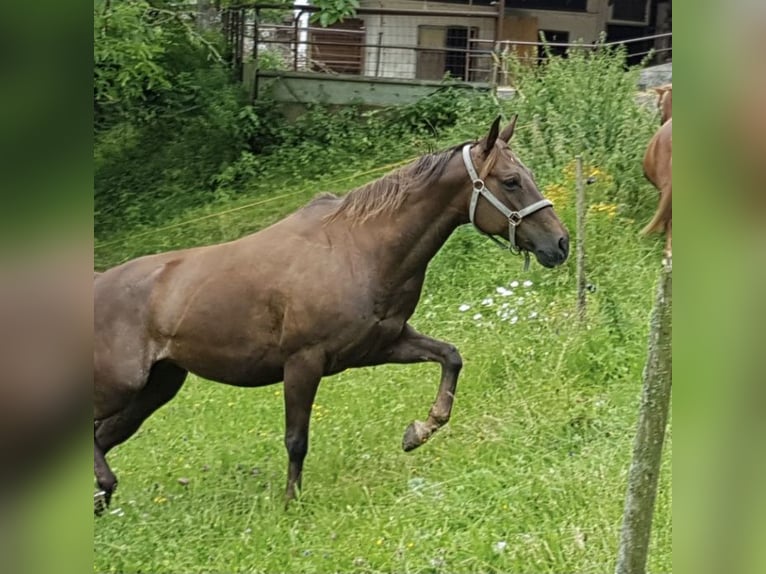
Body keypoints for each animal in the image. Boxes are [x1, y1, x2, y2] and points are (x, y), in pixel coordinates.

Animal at [94, 116, 570, 512]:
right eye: (511, 181)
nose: (560, 243)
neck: (358, 249)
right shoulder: (303, 362)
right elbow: (296, 440)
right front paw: (290, 504)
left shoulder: (383, 344)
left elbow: (450, 357)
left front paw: (418, 432)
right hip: (122, 387)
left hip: (157, 387)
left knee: (101, 437)